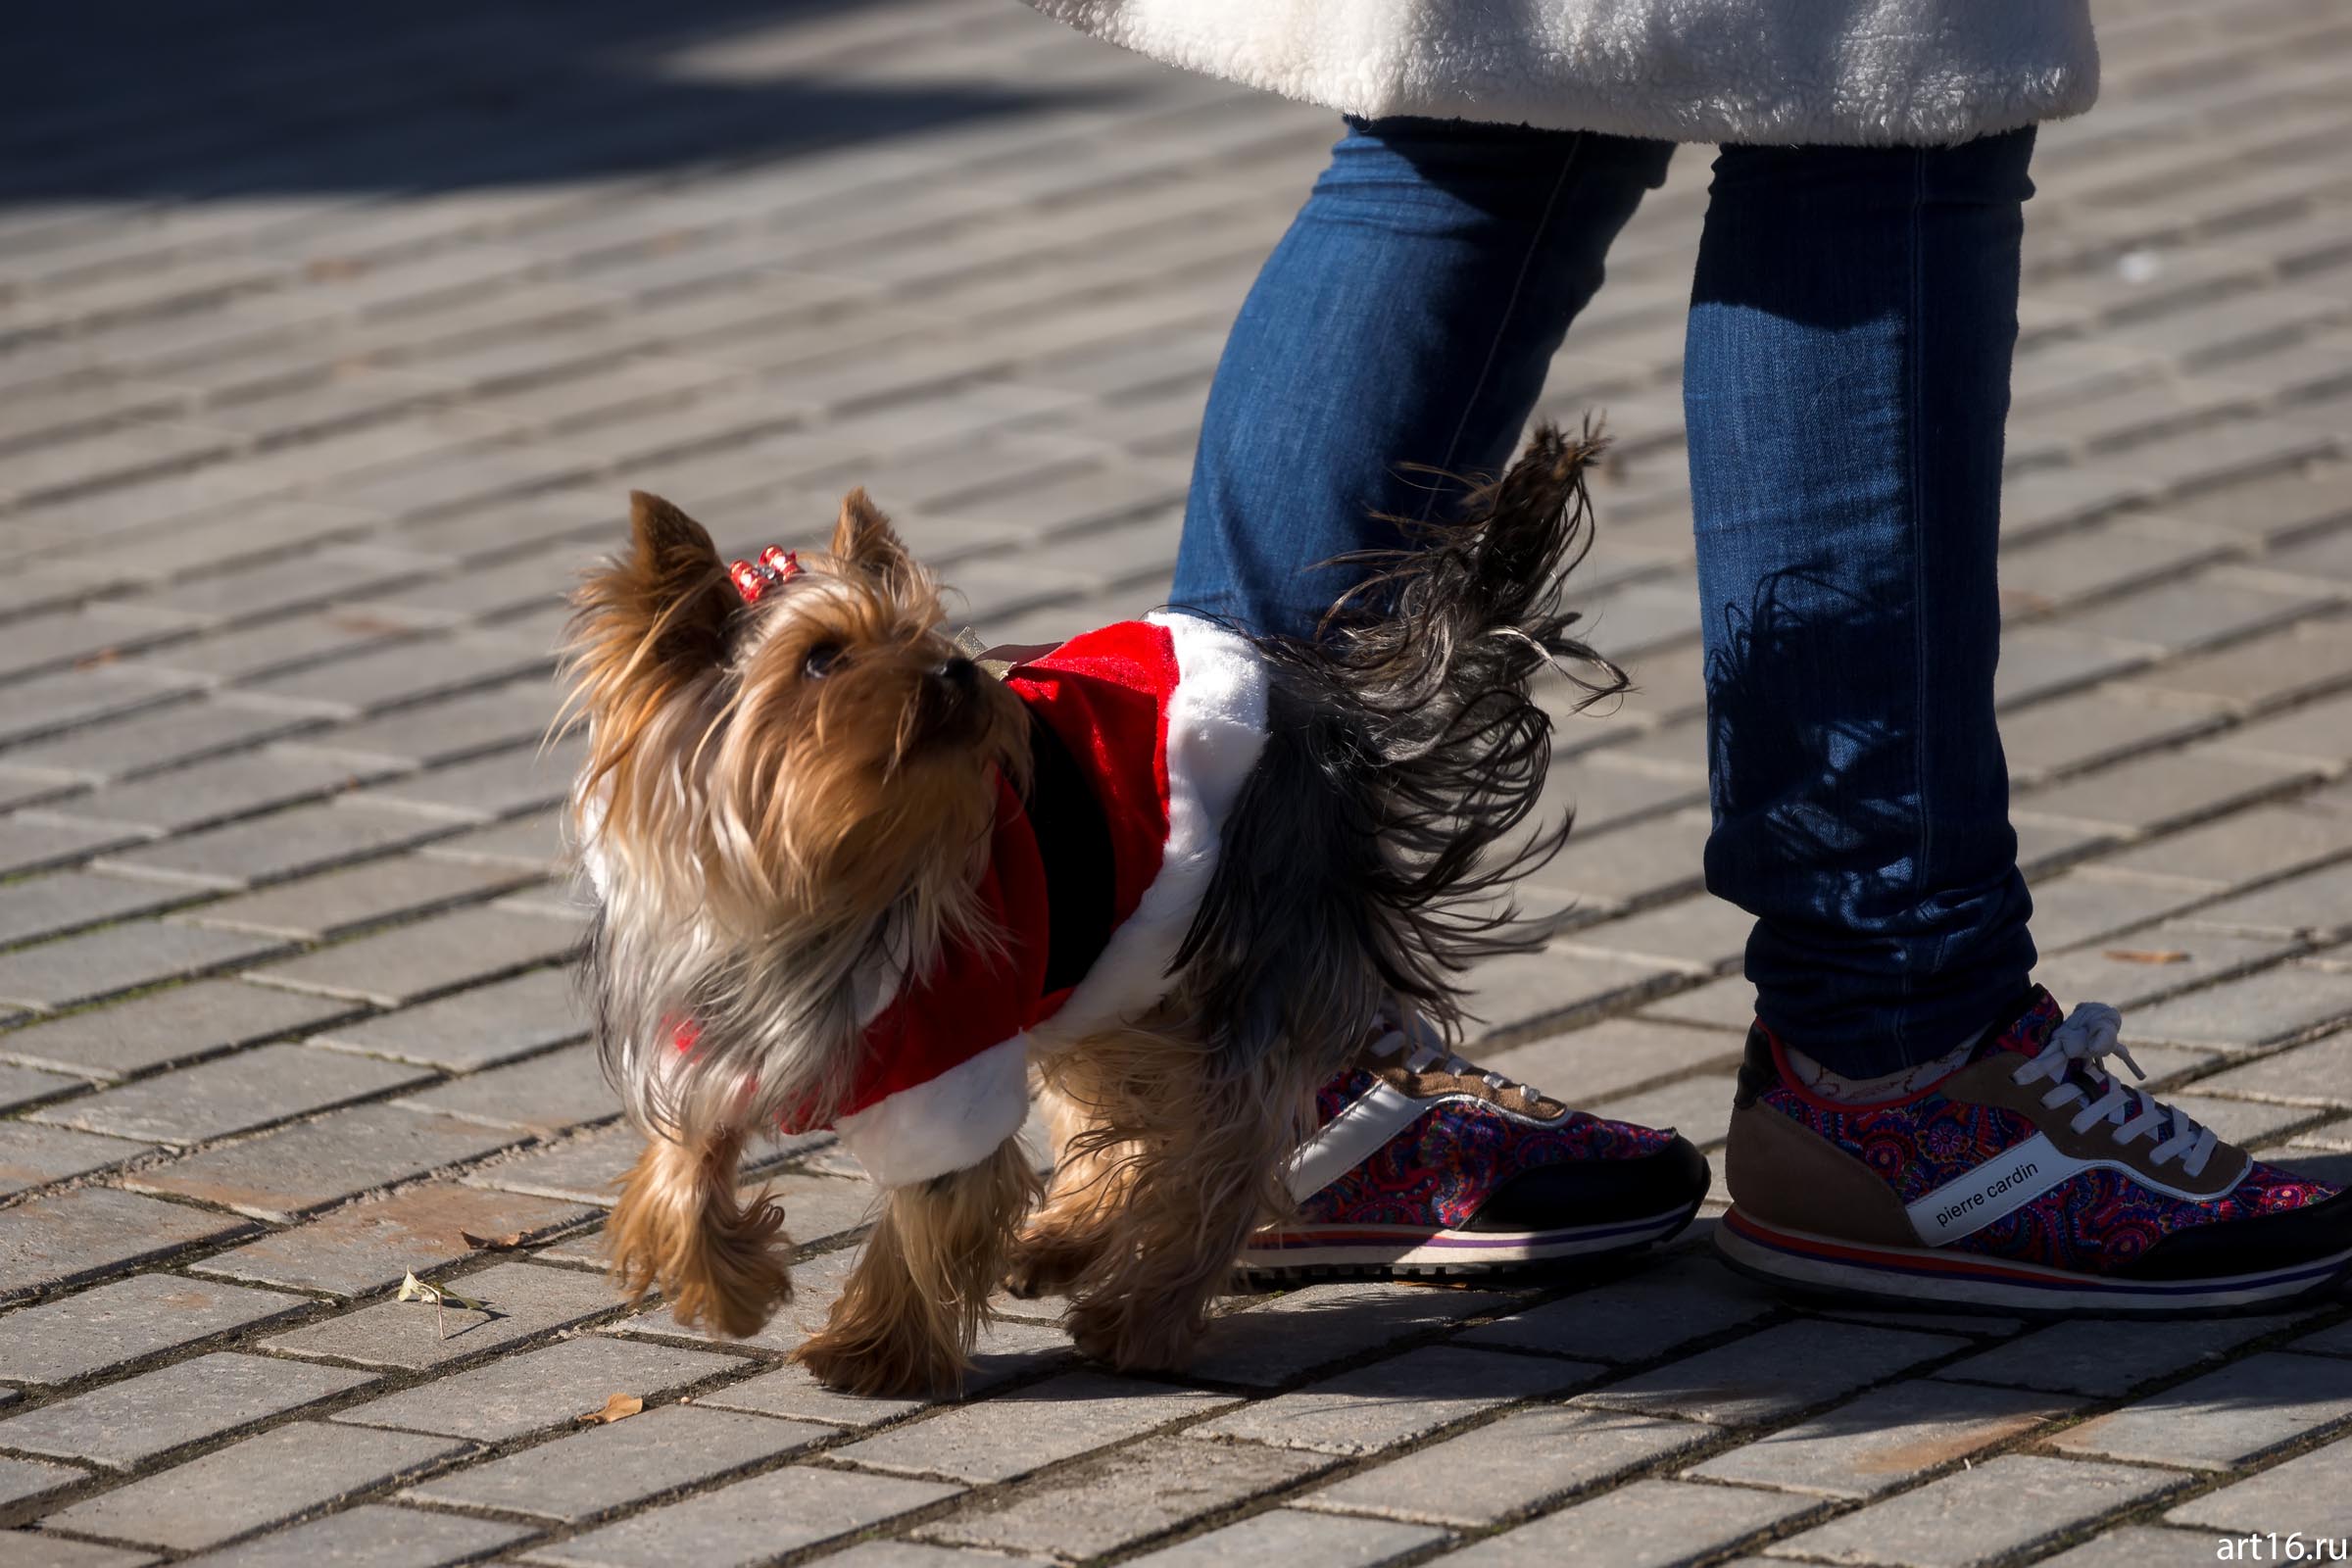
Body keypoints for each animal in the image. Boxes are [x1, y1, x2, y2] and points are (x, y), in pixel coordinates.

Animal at [562, 420, 1627, 1400]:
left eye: (926, 636)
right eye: (821, 659)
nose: (957, 672)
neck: (823, 875)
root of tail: (1337, 719)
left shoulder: (952, 1057)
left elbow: (931, 1214)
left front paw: (874, 1350)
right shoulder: (713, 1031)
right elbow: (684, 1167)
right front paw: (728, 1287)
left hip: (1235, 958)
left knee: (1222, 1147)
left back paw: (1139, 1318)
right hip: (1116, 967)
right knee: (1138, 1114)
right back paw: (1066, 1241)